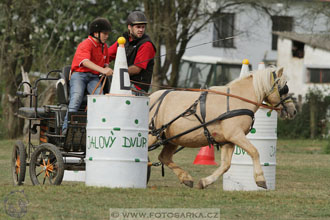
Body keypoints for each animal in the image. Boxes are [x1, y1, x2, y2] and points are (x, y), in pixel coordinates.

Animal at [147, 66, 296, 189]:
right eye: (284, 88)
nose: (293, 110)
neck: (238, 100)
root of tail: (150, 97)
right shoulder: (235, 135)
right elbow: (254, 151)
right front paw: (260, 179)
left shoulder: (227, 141)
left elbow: (226, 165)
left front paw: (205, 182)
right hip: (152, 135)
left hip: (172, 139)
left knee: (164, 157)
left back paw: (186, 178)